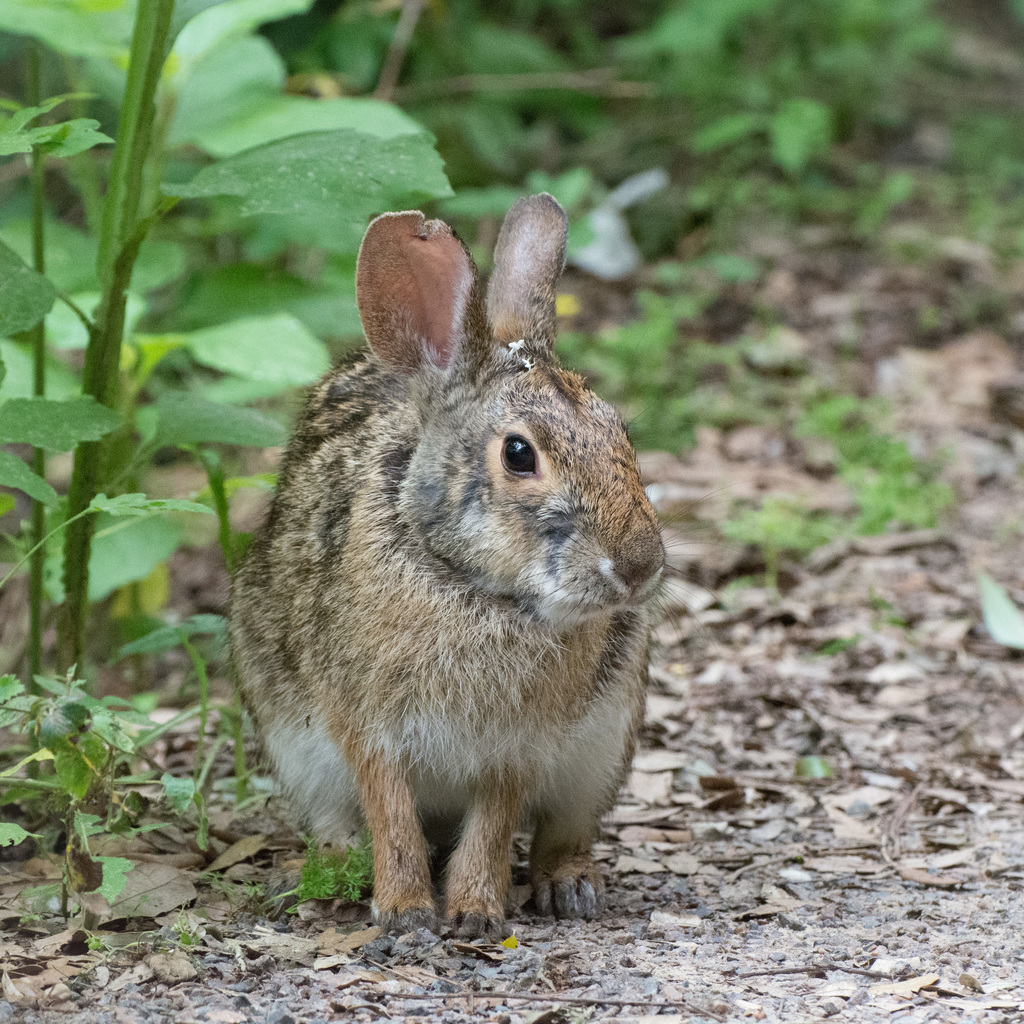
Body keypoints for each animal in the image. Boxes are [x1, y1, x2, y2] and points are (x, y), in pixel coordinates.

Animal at [230, 192, 663, 937]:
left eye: (619, 434)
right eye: (519, 454)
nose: (641, 567)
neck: (470, 586)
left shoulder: (519, 746)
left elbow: (492, 825)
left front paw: (475, 914)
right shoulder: (364, 725)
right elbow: (390, 813)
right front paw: (405, 911)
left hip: (605, 741)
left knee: (564, 831)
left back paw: (569, 886)